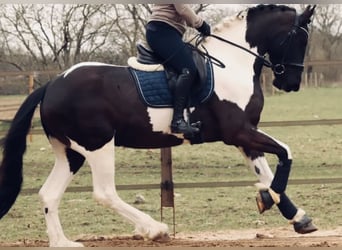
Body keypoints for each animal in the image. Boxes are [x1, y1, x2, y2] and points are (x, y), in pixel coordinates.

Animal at [0, 4, 316, 247]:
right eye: (300, 40)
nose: (290, 83)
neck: (232, 64)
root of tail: (52, 85)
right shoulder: (239, 131)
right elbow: (286, 154)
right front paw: (269, 198)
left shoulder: (244, 136)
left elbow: (267, 170)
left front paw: (296, 215)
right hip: (98, 145)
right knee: (104, 192)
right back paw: (154, 229)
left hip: (71, 152)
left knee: (49, 193)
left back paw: (62, 243)